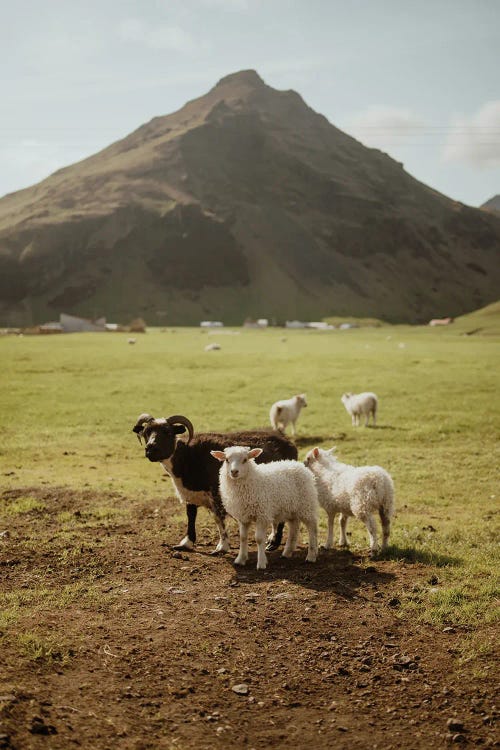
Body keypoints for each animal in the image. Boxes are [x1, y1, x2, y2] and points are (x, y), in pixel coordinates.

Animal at [133, 414, 296, 556]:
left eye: (167, 431)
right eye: (146, 432)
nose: (150, 449)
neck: (187, 456)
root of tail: (289, 443)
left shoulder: (216, 494)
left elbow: (218, 519)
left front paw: (222, 547)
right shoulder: (190, 494)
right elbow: (191, 516)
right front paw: (186, 543)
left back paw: (273, 544)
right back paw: (271, 540)